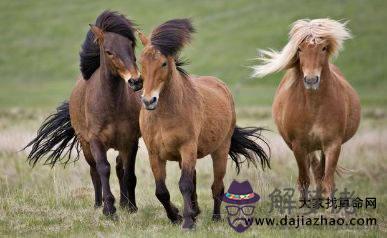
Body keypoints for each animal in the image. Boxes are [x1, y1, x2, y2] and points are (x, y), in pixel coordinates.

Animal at [26, 10, 144, 216]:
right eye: (109, 51)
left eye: (131, 46)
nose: (135, 81)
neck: (112, 105)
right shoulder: (96, 141)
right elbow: (103, 169)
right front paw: (109, 209)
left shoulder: (130, 141)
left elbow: (129, 173)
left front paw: (130, 207)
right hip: (85, 144)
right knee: (94, 170)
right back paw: (98, 204)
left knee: (120, 168)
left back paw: (124, 203)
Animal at [133, 19, 270, 230]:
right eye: (141, 62)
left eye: (163, 63)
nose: (149, 101)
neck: (165, 115)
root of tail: (222, 87)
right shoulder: (154, 154)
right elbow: (161, 190)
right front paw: (176, 216)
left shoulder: (187, 148)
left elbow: (185, 185)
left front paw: (187, 221)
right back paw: (195, 211)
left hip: (220, 151)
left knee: (217, 186)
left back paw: (215, 217)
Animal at [253, 18, 362, 199]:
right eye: (299, 49)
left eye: (323, 48)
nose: (311, 80)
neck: (314, 107)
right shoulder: (299, 146)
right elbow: (304, 181)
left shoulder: (333, 145)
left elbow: (328, 182)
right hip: (308, 149)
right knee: (316, 172)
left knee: (320, 174)